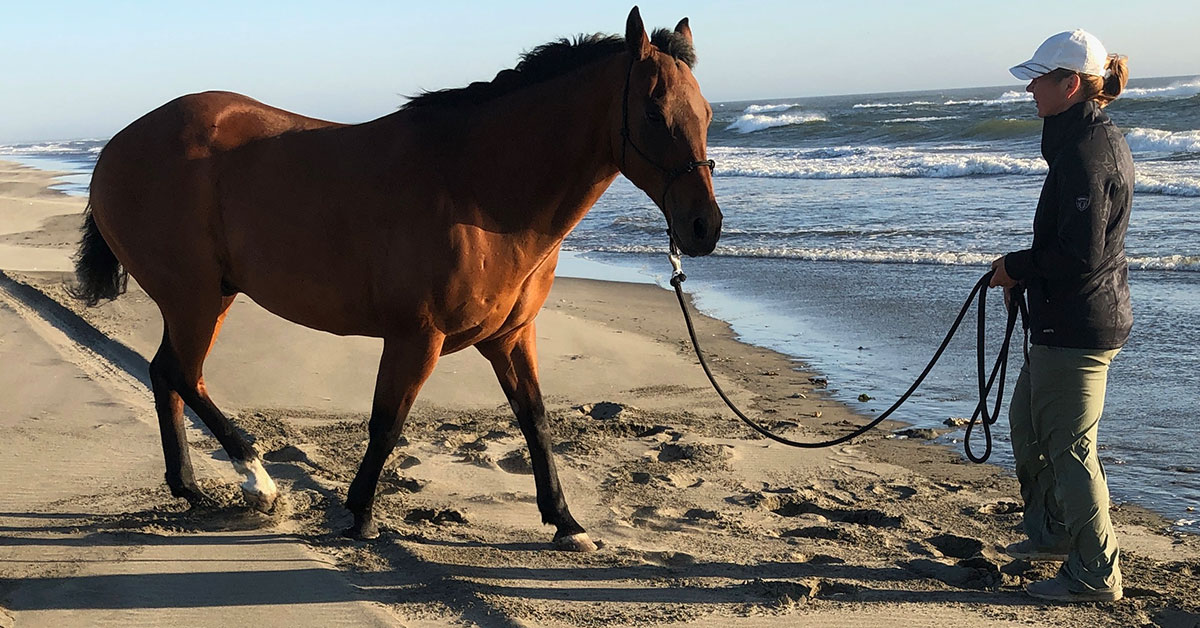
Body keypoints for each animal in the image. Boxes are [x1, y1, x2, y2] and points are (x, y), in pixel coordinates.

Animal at [75, 7, 720, 552]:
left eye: (709, 114)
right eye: (654, 113)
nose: (704, 228)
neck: (477, 187)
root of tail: (115, 147)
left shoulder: (511, 337)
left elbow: (535, 420)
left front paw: (565, 522)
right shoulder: (416, 337)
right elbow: (388, 422)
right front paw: (359, 514)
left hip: (203, 300)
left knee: (167, 375)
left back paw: (189, 487)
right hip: (198, 300)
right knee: (182, 374)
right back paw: (256, 480)